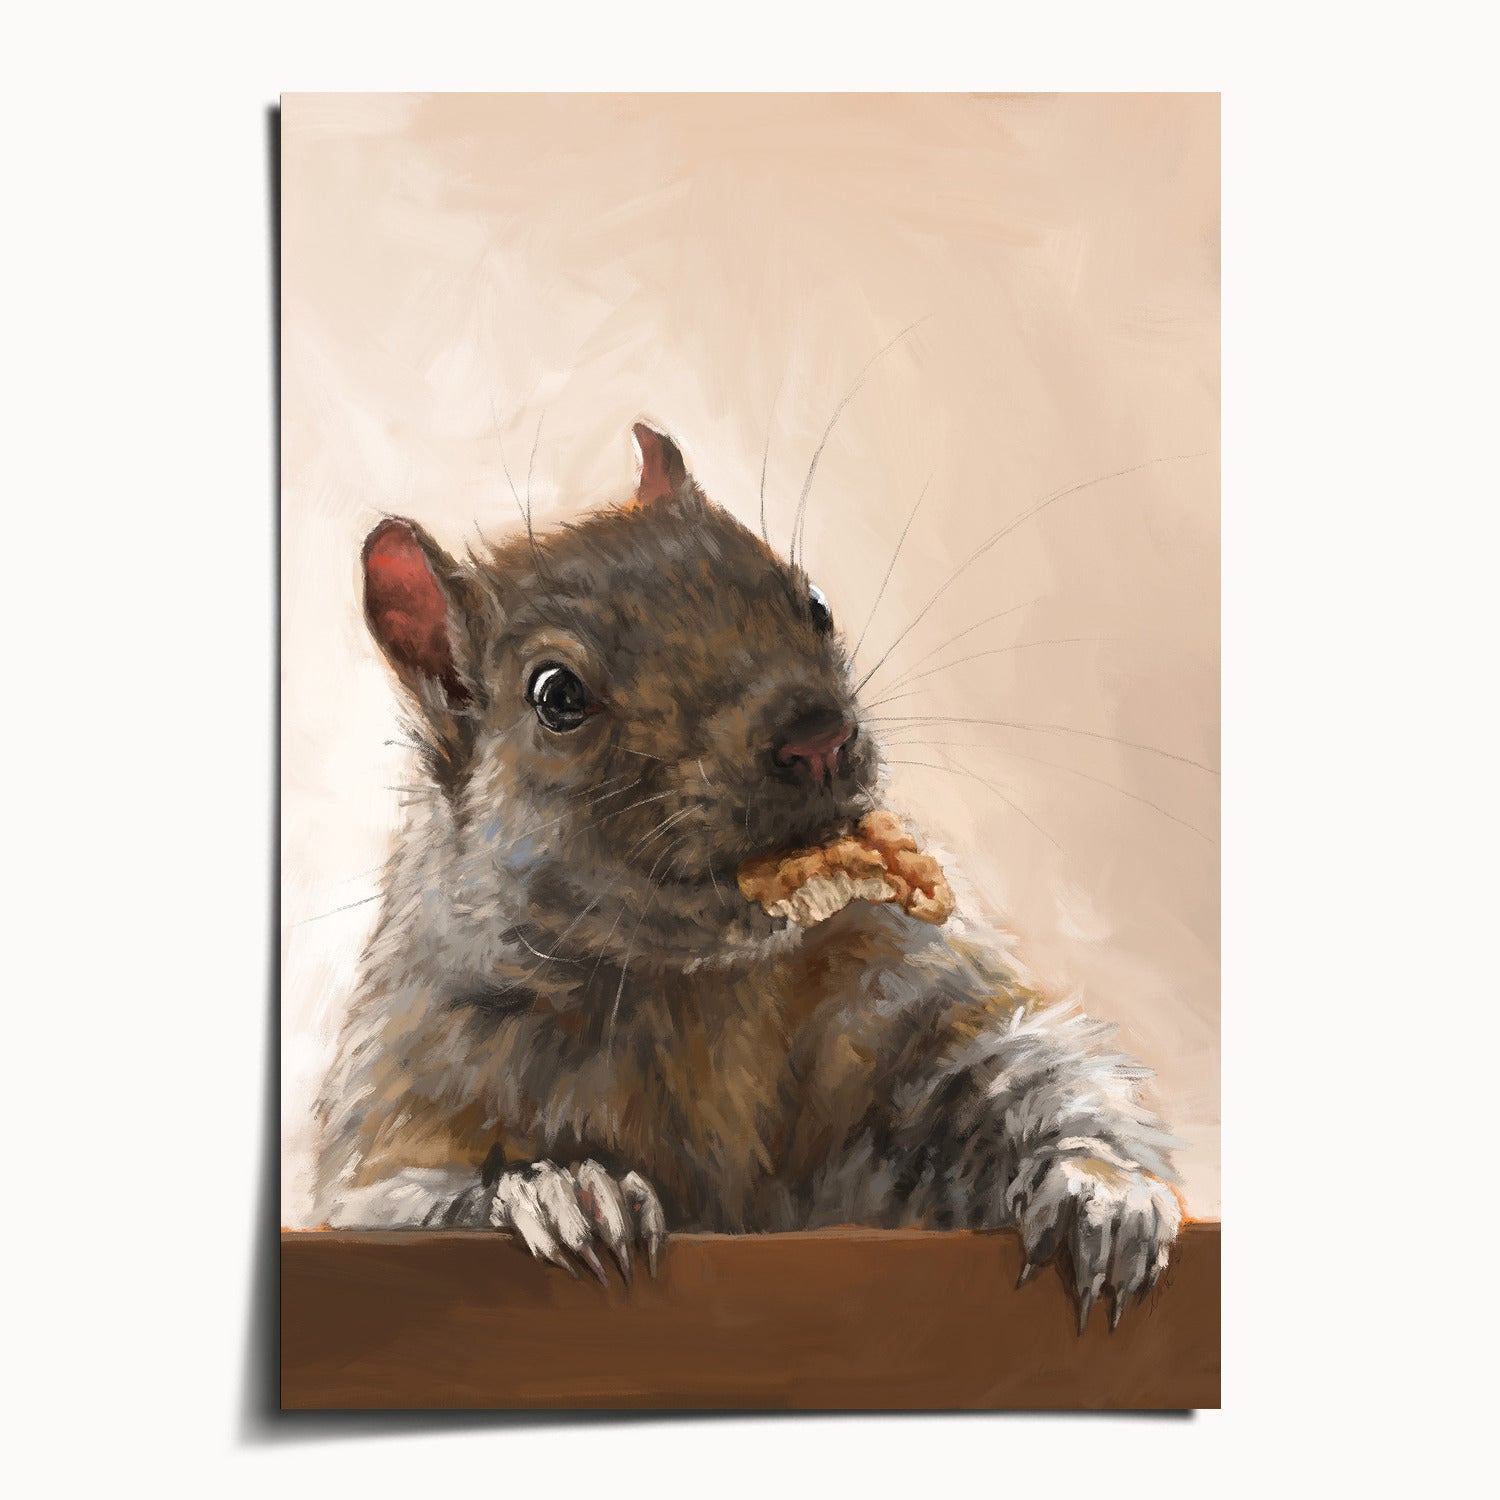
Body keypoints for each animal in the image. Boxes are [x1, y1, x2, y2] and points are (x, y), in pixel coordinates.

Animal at [314, 421, 1182, 1331]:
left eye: (815, 603)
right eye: (555, 694)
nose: (818, 735)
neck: (698, 984)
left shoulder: (901, 989)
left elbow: (1022, 1063)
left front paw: (1101, 1190)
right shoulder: (409, 1092)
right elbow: (393, 1198)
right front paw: (560, 1191)